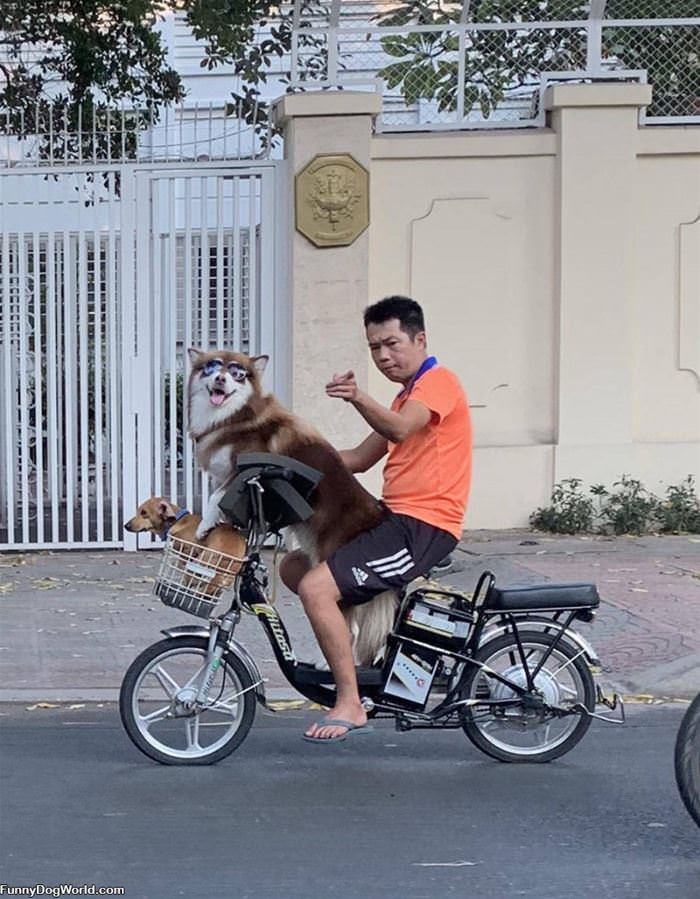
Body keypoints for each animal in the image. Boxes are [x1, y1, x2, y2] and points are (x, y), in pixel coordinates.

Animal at [187, 346, 400, 668]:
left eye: (238, 372)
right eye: (211, 367)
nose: (221, 379)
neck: (233, 417)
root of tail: (376, 517)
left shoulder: (246, 469)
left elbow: (214, 498)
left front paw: (203, 525)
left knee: (350, 626)